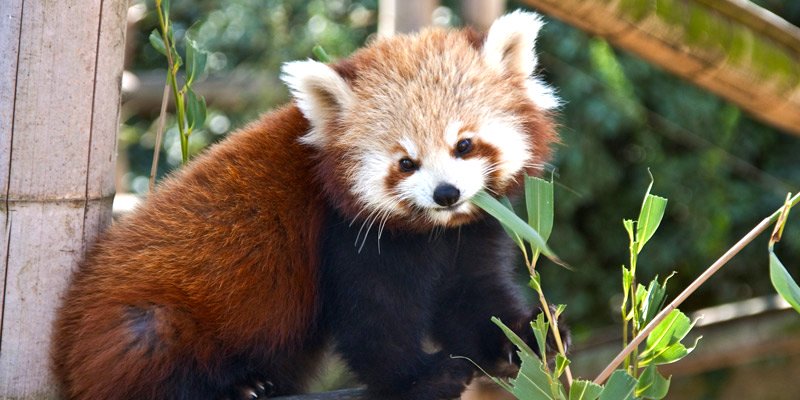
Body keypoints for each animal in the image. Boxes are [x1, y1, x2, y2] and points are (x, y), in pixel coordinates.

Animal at [53, 10, 560, 400]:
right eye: (406, 162)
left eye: (464, 145)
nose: (446, 194)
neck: (431, 230)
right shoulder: (347, 234)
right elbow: (375, 319)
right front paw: (420, 379)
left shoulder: (471, 231)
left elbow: (470, 298)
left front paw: (527, 339)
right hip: (140, 328)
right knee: (153, 345)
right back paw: (239, 387)